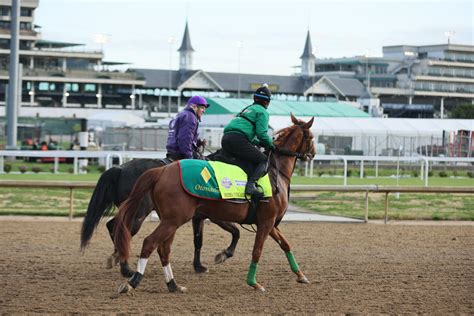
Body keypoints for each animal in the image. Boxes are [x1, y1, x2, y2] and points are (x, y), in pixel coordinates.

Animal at [80, 158, 241, 276]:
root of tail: (119, 169)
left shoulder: (199, 217)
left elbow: (198, 241)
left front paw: (198, 266)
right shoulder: (215, 216)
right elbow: (235, 231)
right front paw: (224, 254)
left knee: (113, 226)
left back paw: (117, 258)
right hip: (137, 215)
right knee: (120, 230)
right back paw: (125, 267)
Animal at [113, 114, 316, 294]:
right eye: (311, 137)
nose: (313, 153)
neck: (276, 171)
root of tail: (161, 170)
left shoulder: (269, 223)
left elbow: (285, 245)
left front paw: (301, 275)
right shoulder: (265, 222)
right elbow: (256, 250)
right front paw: (253, 283)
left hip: (170, 220)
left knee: (163, 249)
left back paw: (173, 285)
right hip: (172, 219)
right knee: (149, 242)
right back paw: (132, 281)